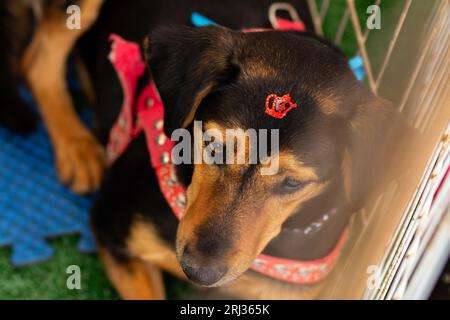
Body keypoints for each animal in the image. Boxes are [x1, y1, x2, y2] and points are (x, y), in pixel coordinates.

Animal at [1, 0, 406, 300]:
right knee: (38, 59)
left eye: (293, 183)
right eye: (213, 147)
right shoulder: (111, 226)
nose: (199, 272)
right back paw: (76, 147)